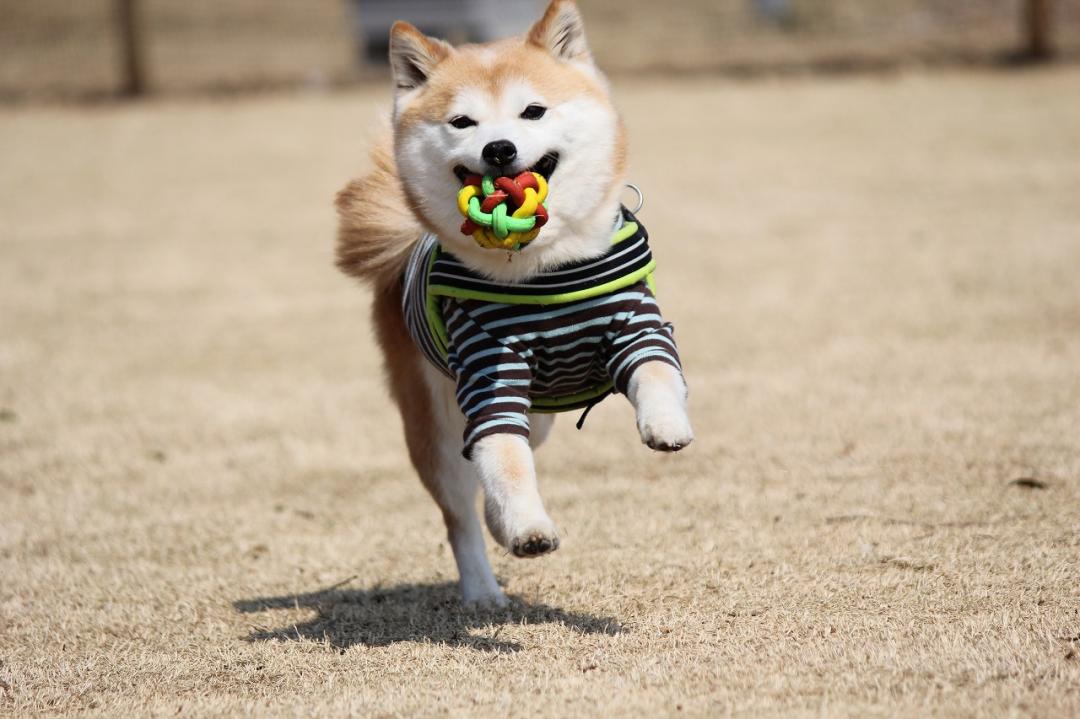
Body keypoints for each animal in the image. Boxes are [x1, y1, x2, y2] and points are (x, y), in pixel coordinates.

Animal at [334, 0, 691, 604]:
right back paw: (482, 586)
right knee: (462, 506)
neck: (542, 272)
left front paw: (666, 425)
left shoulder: (634, 322)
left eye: (533, 111)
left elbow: (656, 371)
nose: (498, 148)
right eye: (462, 123)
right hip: (433, 419)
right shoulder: (489, 370)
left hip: (541, 415)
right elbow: (504, 460)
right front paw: (526, 528)